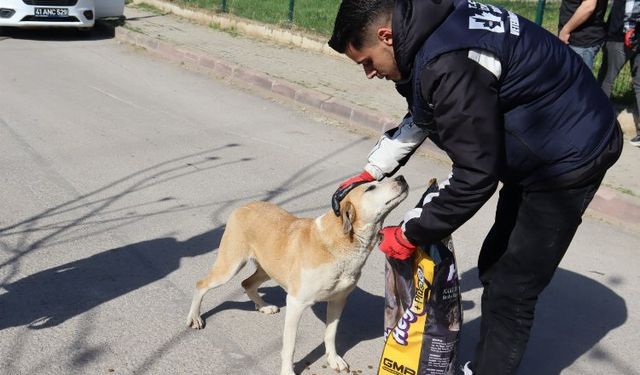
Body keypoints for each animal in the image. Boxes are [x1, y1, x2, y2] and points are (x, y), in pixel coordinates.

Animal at [185, 176, 408, 375]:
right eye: (371, 188)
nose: (401, 178)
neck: (341, 243)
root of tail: (244, 206)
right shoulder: (296, 303)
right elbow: (289, 346)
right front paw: (287, 371)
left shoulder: (338, 300)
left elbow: (330, 334)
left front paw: (333, 359)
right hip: (230, 265)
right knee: (201, 284)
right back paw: (195, 317)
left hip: (268, 269)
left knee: (247, 283)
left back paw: (263, 306)